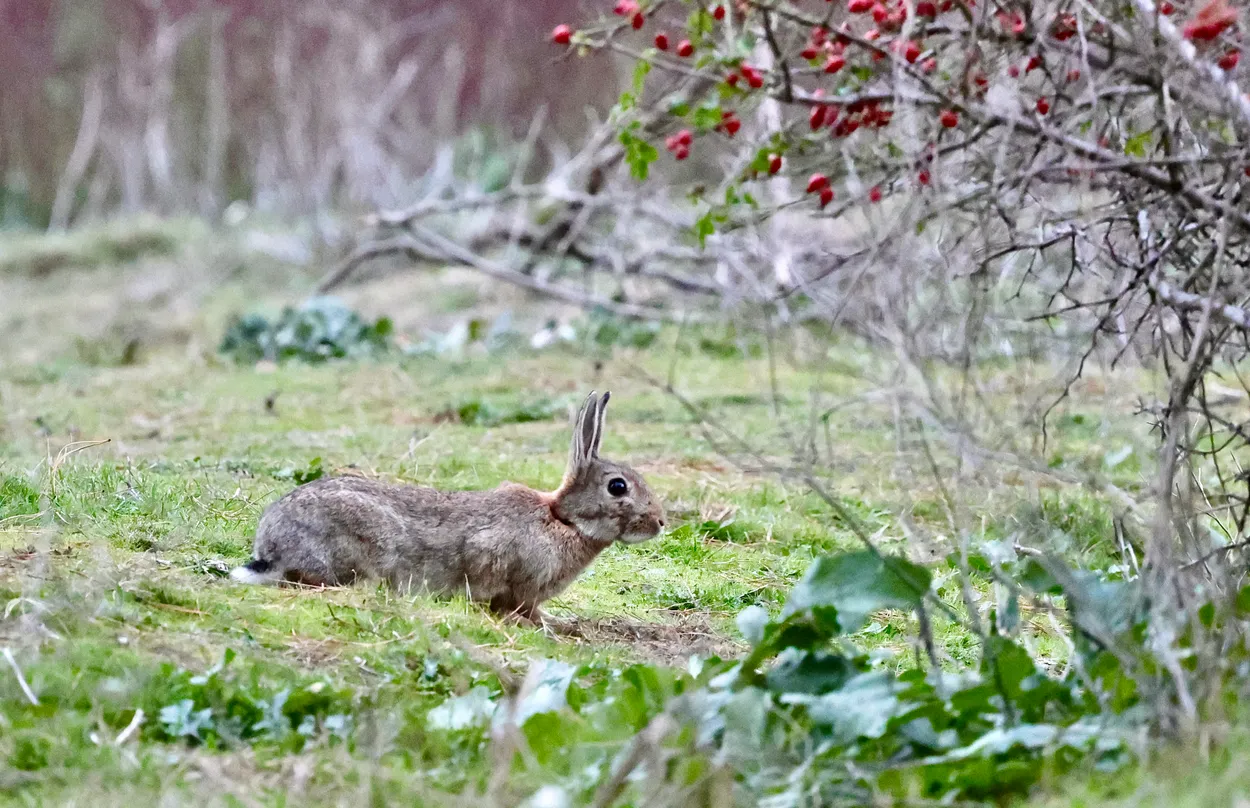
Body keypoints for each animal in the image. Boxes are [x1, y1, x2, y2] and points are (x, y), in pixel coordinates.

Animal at [230, 391, 665, 622]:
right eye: (618, 486)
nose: (660, 522)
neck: (563, 521)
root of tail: (270, 548)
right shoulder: (501, 561)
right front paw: (553, 624)